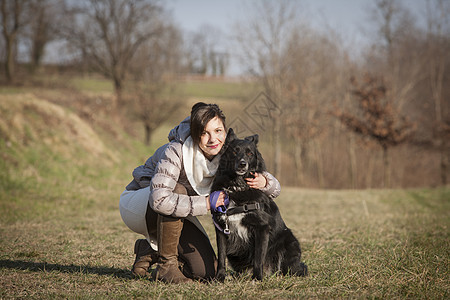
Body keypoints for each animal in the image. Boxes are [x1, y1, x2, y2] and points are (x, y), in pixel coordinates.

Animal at [213, 129, 308, 282]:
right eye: (235, 151)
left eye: (250, 153)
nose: (242, 164)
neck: (238, 187)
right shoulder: (221, 229)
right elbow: (221, 256)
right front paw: (220, 277)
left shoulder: (262, 228)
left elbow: (258, 257)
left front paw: (257, 278)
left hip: (290, 243)